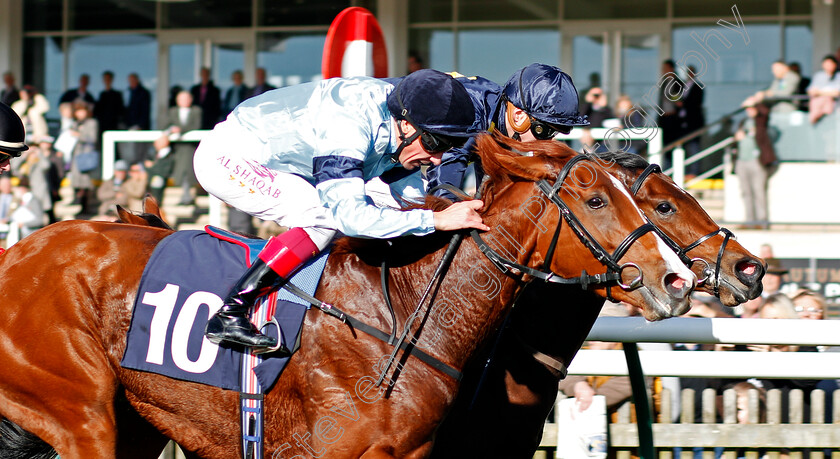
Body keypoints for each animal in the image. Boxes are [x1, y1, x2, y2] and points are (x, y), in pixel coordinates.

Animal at [0, 135, 696, 458]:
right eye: (598, 199)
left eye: (649, 203)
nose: (675, 280)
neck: (401, 315)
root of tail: (20, 252)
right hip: (80, 410)